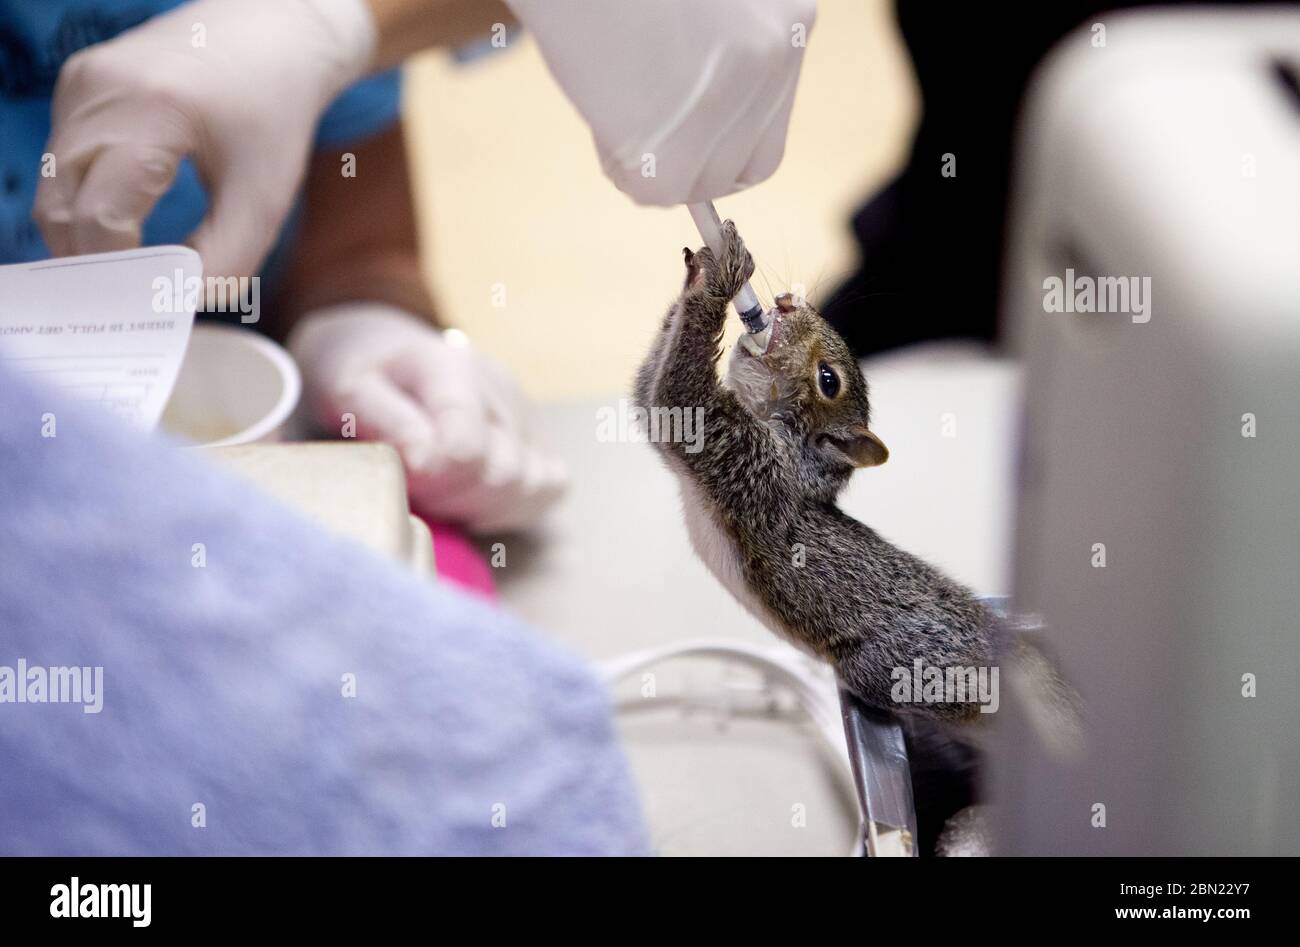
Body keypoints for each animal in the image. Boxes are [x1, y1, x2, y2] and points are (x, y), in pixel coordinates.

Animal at [634, 221, 997, 722]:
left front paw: (722, 278)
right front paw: (700, 272)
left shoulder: (745, 463)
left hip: (900, 668)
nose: (787, 302)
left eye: (829, 380)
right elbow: (650, 394)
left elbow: (676, 394)